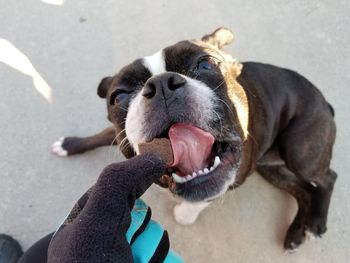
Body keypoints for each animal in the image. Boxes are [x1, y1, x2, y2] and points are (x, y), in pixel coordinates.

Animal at [52, 27, 336, 253]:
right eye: (118, 97)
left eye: (206, 63)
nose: (161, 84)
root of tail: (326, 104)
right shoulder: (118, 134)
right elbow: (100, 136)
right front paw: (70, 144)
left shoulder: (232, 178)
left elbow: (199, 200)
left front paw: (184, 214)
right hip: (271, 168)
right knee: (302, 191)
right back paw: (296, 233)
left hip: (299, 152)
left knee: (327, 177)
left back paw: (316, 222)